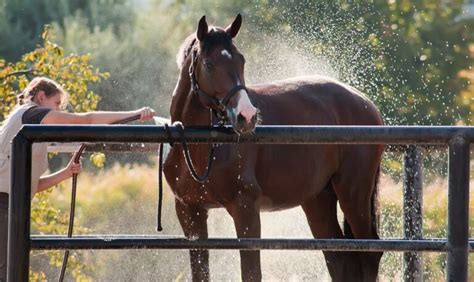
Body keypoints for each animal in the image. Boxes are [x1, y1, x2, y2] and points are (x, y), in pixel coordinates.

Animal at [165, 14, 384, 280]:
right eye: (208, 64)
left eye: (241, 60)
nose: (247, 116)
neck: (202, 147)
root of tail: (365, 103)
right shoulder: (191, 213)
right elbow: (201, 272)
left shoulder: (246, 210)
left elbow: (251, 272)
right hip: (319, 200)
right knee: (340, 258)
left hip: (354, 195)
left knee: (369, 252)